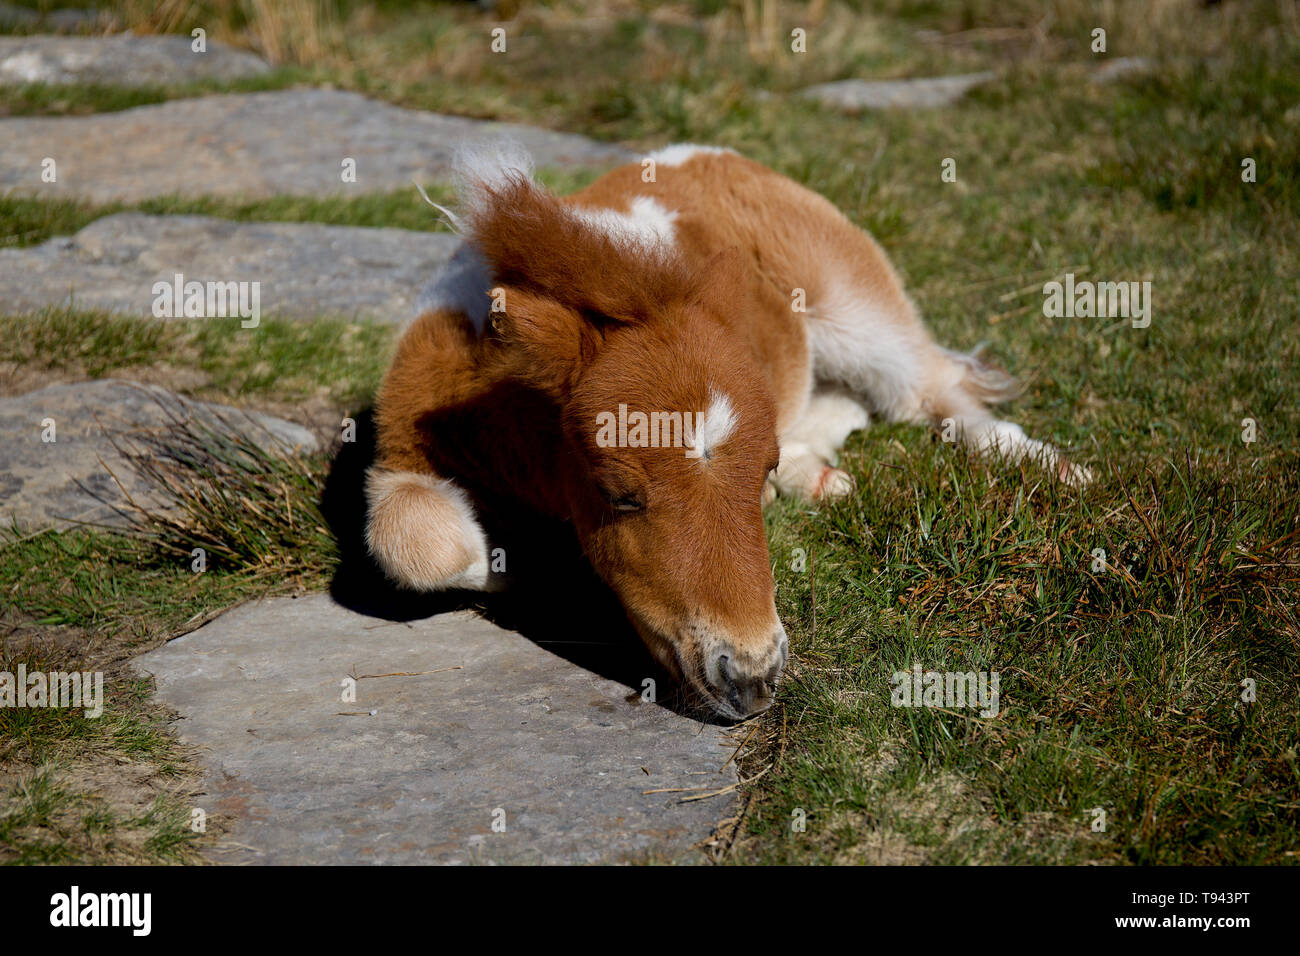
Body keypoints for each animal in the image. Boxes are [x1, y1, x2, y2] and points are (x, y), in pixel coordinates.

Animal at [366, 141, 1086, 723]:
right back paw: (821, 477)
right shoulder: (402, 442)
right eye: (617, 494)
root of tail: (716, 156)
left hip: (857, 308)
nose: (754, 678)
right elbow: (413, 542)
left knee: (930, 389)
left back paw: (1061, 470)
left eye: (759, 465)